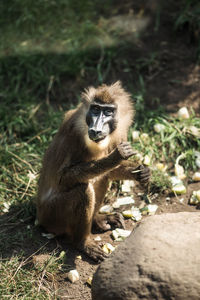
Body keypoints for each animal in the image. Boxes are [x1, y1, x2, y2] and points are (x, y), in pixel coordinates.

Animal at [37, 81, 150, 262]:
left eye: (108, 111)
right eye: (96, 109)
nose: (96, 129)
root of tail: (40, 217)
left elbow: (111, 173)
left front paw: (143, 172)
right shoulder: (72, 130)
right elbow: (62, 178)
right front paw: (115, 157)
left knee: (102, 178)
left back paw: (97, 219)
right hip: (52, 215)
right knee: (83, 190)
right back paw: (83, 242)